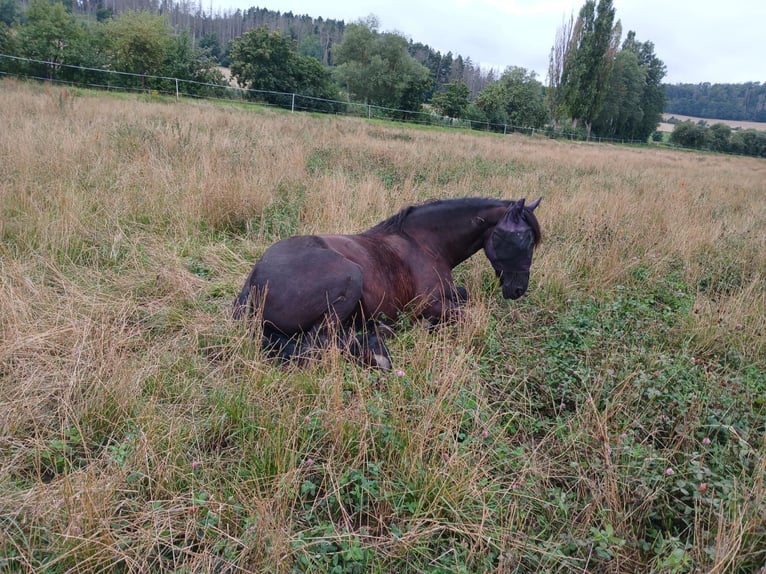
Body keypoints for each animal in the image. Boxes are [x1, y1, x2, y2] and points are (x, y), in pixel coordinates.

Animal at [233, 196, 542, 368]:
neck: (423, 243)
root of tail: (255, 280)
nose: (518, 289)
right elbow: (469, 316)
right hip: (351, 277)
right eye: (521, 239)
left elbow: (463, 295)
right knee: (317, 345)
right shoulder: (428, 306)